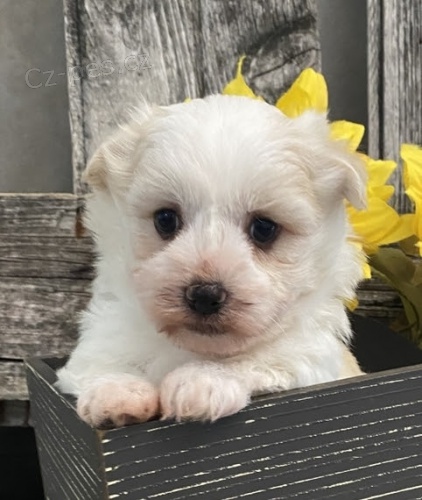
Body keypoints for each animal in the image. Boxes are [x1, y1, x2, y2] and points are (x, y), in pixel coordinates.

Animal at [56, 94, 366, 428]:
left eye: (264, 228)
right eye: (165, 219)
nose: (205, 295)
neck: (190, 347)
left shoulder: (307, 356)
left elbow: (260, 358)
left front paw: (202, 380)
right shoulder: (102, 338)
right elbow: (102, 359)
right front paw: (117, 390)